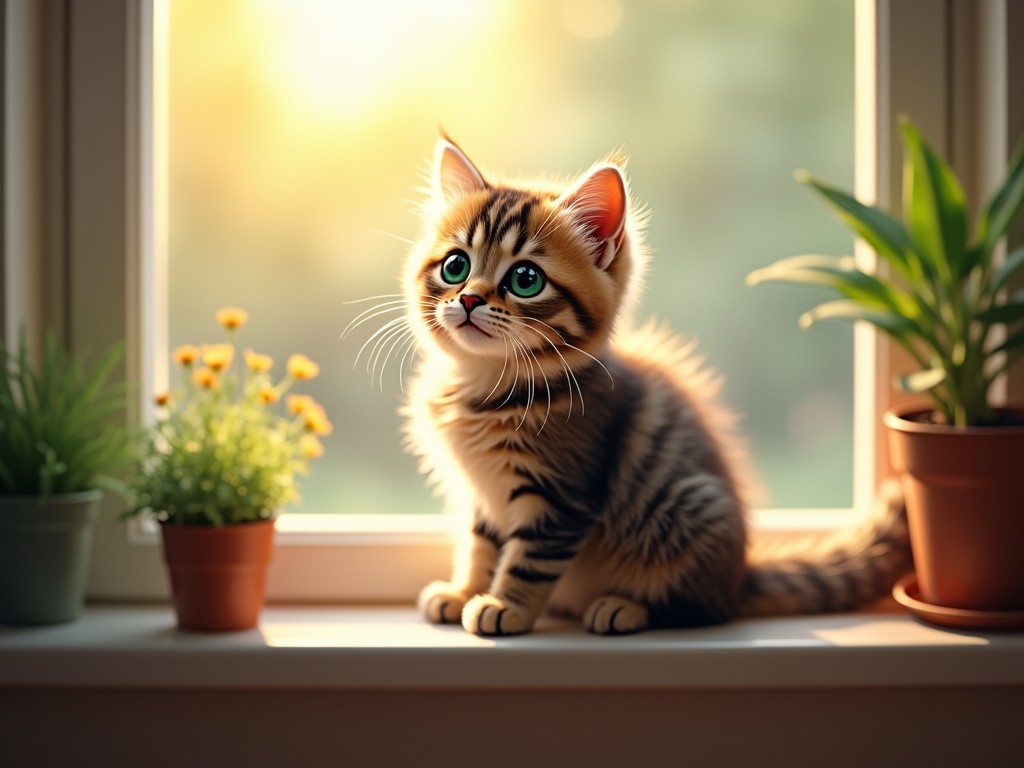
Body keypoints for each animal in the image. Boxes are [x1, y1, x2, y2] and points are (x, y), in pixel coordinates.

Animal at [389, 137, 913, 638]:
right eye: (455, 266)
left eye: (525, 278)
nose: (469, 299)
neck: (484, 386)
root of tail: (738, 576)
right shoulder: (483, 496)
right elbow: (480, 547)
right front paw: (464, 591)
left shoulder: (562, 496)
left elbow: (527, 561)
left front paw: (505, 607)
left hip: (685, 513)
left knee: (702, 609)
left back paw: (626, 607)